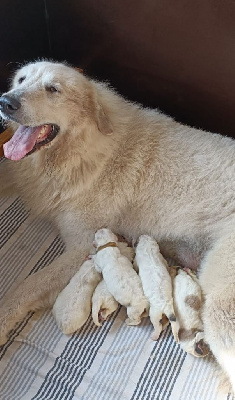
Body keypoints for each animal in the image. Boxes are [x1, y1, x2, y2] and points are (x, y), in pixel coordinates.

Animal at [0, 61, 235, 390]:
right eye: (21, 80)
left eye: (52, 89)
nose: (5, 102)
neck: (80, 150)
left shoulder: (81, 247)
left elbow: (26, 285)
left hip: (221, 308)